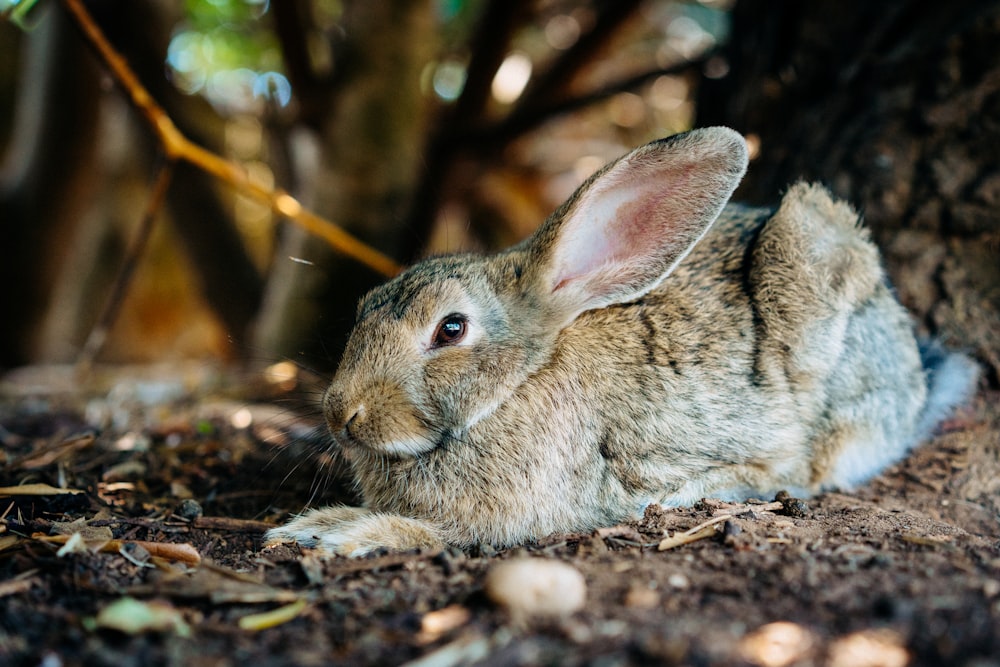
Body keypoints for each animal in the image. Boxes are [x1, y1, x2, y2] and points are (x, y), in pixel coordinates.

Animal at [264, 126, 976, 560]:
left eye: (451, 329)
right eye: (364, 309)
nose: (342, 415)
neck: (514, 385)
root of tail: (915, 376)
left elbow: (438, 531)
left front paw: (339, 531)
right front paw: (318, 524)